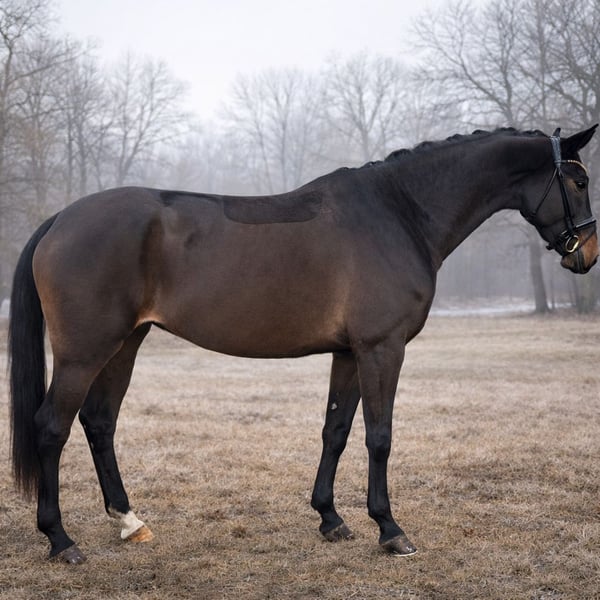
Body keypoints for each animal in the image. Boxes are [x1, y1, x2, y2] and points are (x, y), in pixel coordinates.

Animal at [8, 126, 598, 564]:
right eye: (576, 180)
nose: (586, 253)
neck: (398, 213)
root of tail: (60, 219)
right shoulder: (382, 348)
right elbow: (379, 436)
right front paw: (390, 529)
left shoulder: (349, 352)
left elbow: (335, 430)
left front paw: (331, 519)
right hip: (85, 351)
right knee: (52, 427)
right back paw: (61, 540)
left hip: (126, 342)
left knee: (99, 422)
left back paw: (129, 521)